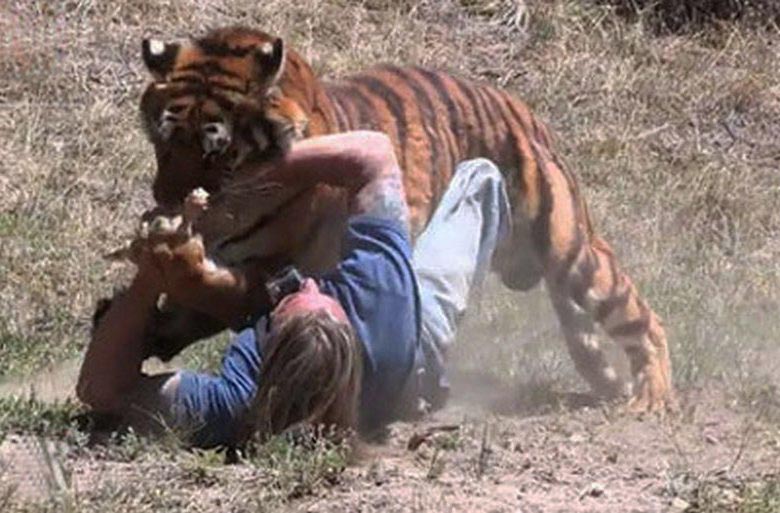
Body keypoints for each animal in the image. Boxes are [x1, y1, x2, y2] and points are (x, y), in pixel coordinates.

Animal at [133, 26, 673, 412]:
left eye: (215, 152)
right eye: (164, 142)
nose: (166, 198)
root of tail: (520, 107)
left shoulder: (283, 267)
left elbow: (218, 293)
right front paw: (159, 323)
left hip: (567, 247)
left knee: (639, 314)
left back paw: (652, 397)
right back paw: (611, 384)